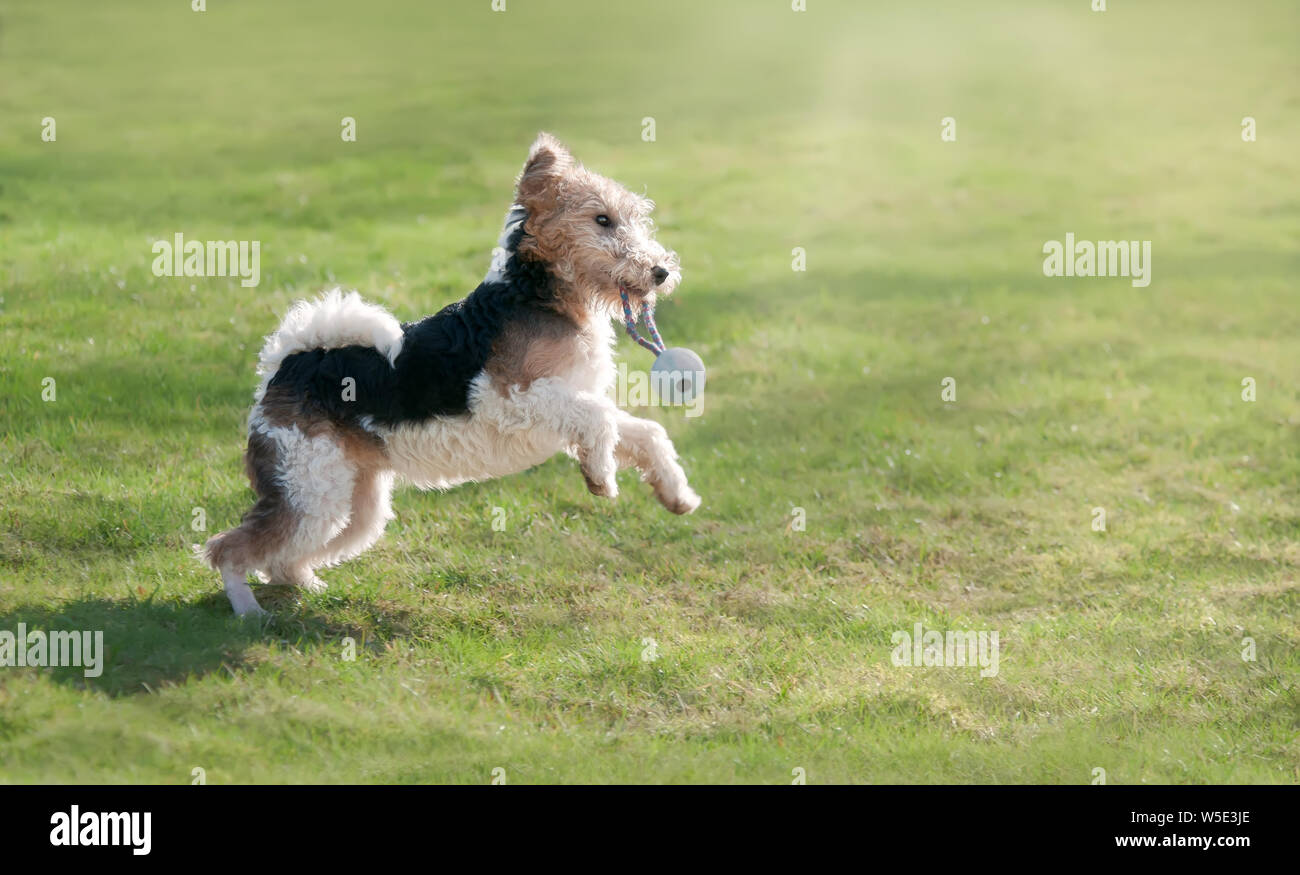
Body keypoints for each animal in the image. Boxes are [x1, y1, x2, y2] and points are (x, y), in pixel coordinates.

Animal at [205, 134, 702, 613]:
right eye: (602, 219)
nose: (661, 272)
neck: (536, 294)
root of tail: (286, 362)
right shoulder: (511, 398)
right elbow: (601, 422)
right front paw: (601, 478)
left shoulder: (570, 399)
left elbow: (644, 432)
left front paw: (678, 496)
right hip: (311, 495)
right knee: (227, 548)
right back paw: (250, 614)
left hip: (352, 504)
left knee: (283, 558)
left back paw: (307, 588)